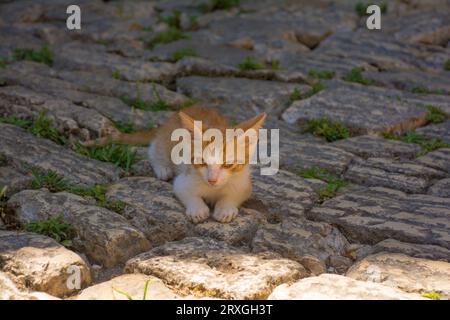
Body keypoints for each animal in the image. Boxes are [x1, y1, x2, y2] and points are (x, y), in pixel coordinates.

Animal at [83, 106, 266, 224]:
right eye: (202, 162)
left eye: (228, 164)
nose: (212, 180)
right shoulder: (184, 179)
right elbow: (186, 192)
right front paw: (198, 209)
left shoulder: (243, 183)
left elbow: (235, 195)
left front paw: (225, 208)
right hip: (165, 144)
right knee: (153, 149)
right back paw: (162, 168)